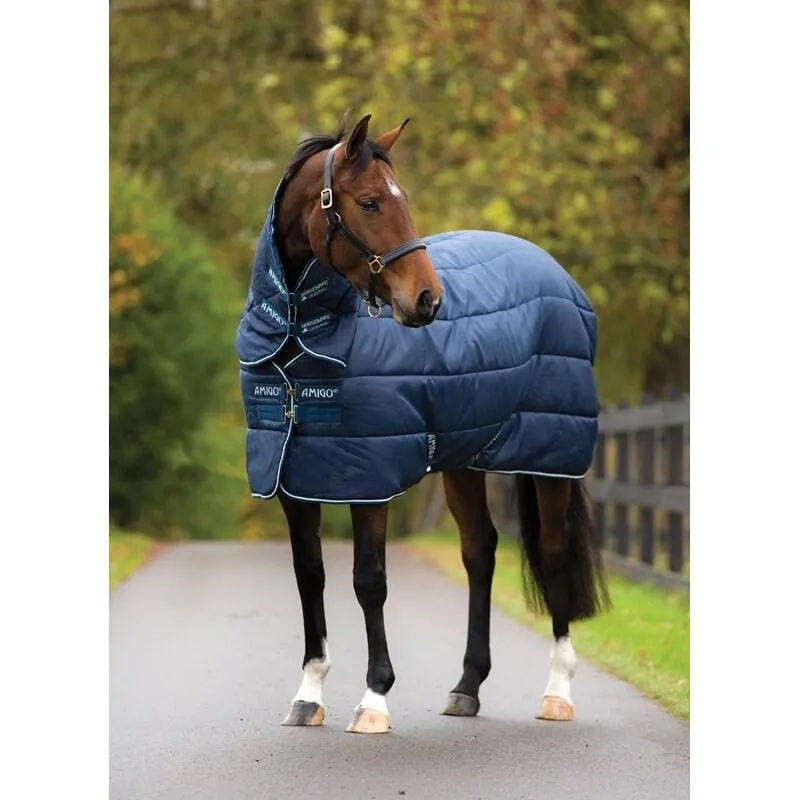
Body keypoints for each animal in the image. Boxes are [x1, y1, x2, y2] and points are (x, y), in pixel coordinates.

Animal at [236, 114, 610, 734]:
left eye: (403, 199)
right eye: (368, 202)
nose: (429, 300)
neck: (302, 335)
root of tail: (558, 275)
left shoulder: (369, 478)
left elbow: (369, 581)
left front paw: (374, 699)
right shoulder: (294, 476)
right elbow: (309, 574)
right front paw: (309, 694)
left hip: (550, 456)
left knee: (554, 551)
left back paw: (557, 692)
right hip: (464, 460)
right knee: (480, 550)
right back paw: (467, 688)